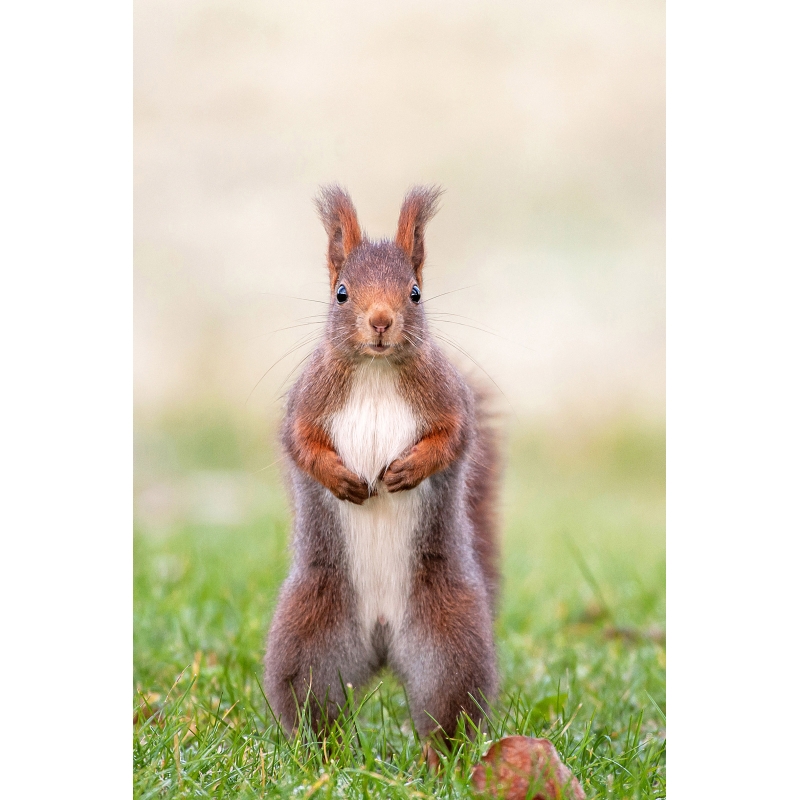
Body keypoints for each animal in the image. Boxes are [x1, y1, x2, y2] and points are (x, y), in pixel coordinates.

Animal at [264, 185, 501, 746]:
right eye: (341, 293)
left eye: (414, 293)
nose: (379, 321)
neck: (374, 371)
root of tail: (382, 638)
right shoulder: (305, 404)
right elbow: (300, 443)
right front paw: (341, 479)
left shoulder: (449, 400)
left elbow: (453, 438)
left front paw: (408, 471)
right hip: (309, 639)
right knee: (312, 706)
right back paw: (319, 755)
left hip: (450, 645)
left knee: (448, 712)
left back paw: (442, 759)